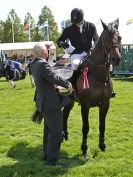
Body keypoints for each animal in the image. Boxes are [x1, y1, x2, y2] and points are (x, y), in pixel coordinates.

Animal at [62, 18, 121, 156]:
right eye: (105, 38)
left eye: (120, 38)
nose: (116, 59)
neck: (98, 75)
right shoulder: (85, 105)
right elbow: (85, 127)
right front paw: (84, 149)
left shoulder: (105, 104)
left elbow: (102, 125)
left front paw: (102, 145)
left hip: (71, 101)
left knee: (65, 113)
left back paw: (66, 135)